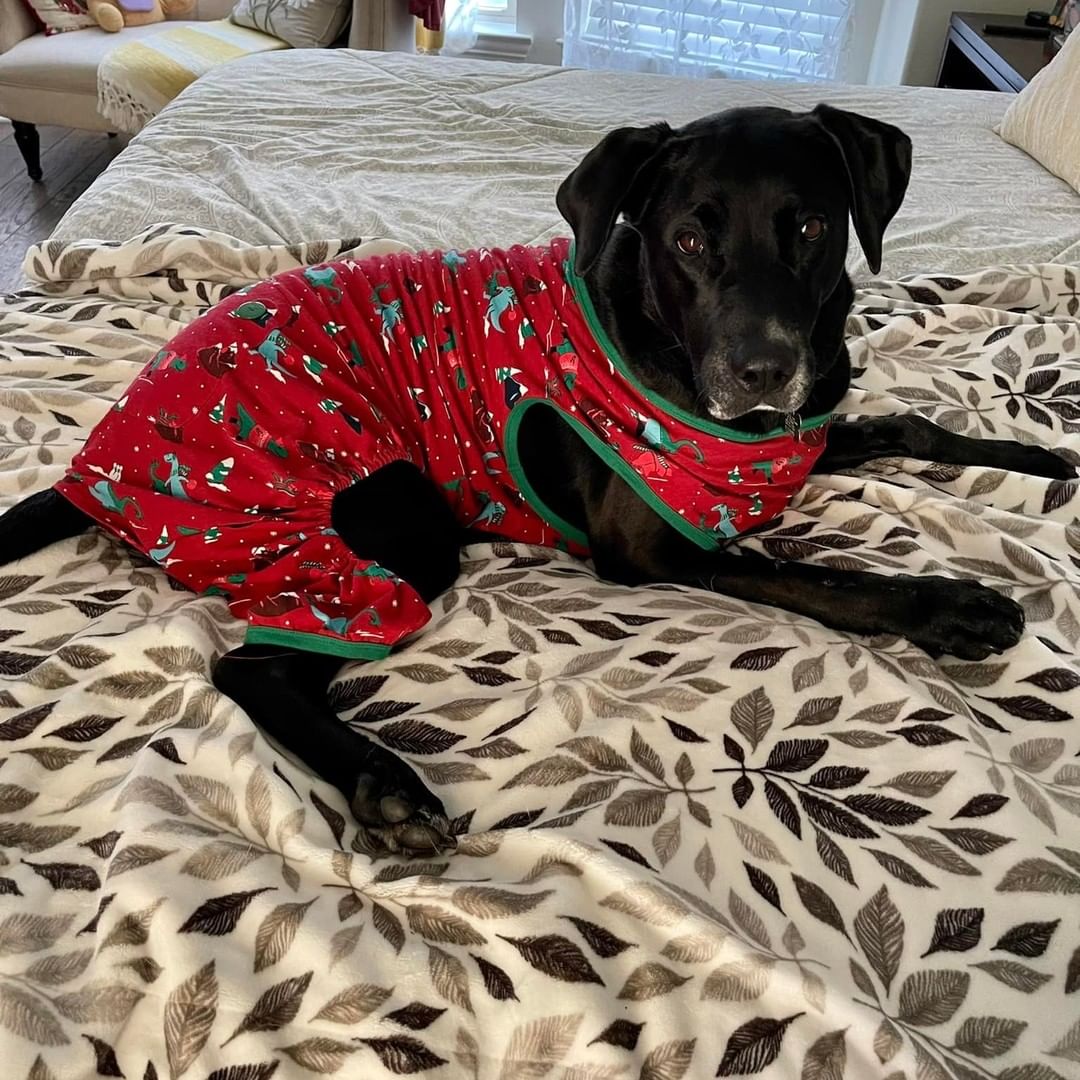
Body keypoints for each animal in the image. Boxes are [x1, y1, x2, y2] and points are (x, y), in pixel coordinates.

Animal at [2, 105, 1071, 855]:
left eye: (809, 227)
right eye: (687, 241)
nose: (760, 371)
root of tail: (95, 465)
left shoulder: (797, 431)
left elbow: (905, 423)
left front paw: (1043, 457)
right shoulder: (655, 545)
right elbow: (820, 575)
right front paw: (952, 606)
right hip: (396, 526)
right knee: (251, 666)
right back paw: (388, 785)